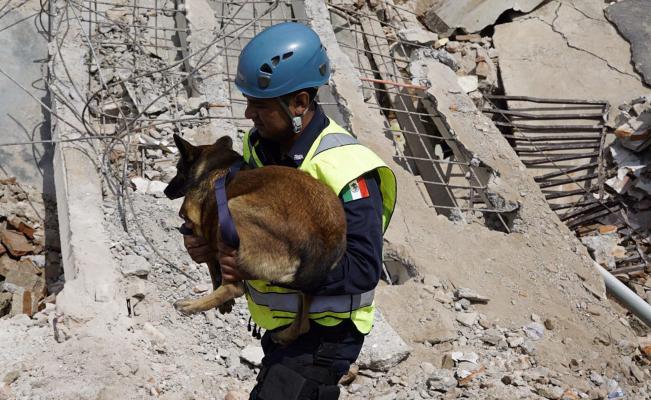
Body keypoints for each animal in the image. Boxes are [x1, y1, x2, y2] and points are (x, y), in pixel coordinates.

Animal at [164, 134, 346, 344]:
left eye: (179, 168)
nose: (166, 191)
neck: (217, 166)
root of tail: (322, 239)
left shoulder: (197, 227)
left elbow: (211, 264)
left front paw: (221, 299)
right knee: (304, 322)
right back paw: (284, 336)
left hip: (233, 208)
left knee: (235, 287)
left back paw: (190, 305)